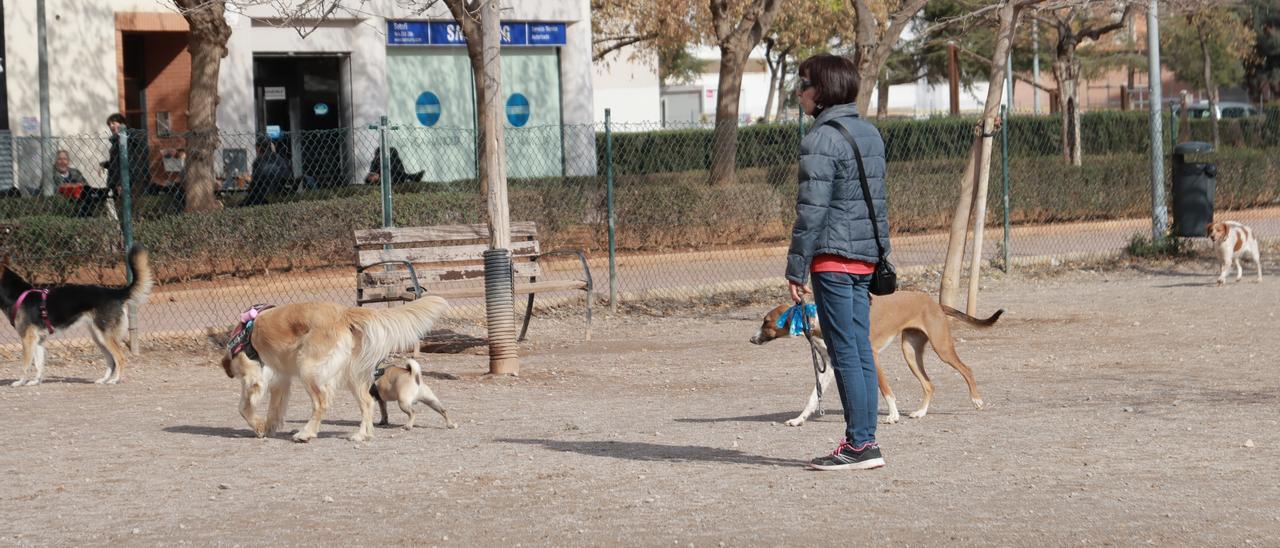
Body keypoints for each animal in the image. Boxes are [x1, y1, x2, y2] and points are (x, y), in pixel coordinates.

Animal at [747, 289, 998, 425]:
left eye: (766, 322)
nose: (751, 339)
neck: (818, 321)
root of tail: (934, 303)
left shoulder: (872, 359)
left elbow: (886, 391)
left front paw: (893, 416)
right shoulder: (830, 368)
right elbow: (813, 398)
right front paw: (799, 419)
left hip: (942, 348)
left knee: (966, 370)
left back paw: (976, 400)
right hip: (910, 352)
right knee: (929, 384)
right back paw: (920, 412)